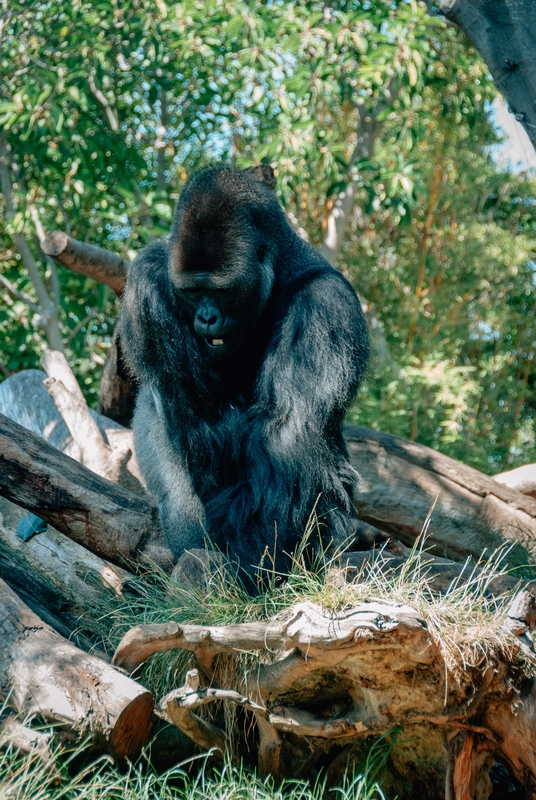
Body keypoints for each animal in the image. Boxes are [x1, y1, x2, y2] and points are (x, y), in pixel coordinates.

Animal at [119, 166, 368, 572]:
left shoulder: (324, 303)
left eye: (221, 291)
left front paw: (248, 563)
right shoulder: (146, 280)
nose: (207, 318)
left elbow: (287, 440)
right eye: (192, 292)